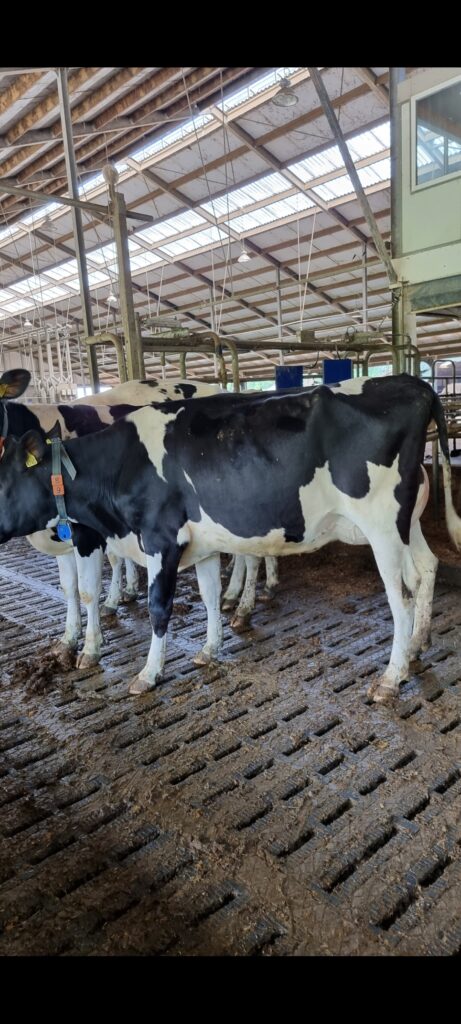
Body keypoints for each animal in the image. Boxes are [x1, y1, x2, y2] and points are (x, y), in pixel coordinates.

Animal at [0, 374, 458, 704]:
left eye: (4, 481)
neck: (123, 464)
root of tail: (410, 382)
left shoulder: (159, 538)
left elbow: (157, 608)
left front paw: (147, 673)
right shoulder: (198, 543)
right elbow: (208, 595)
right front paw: (210, 648)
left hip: (382, 525)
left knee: (401, 598)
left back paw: (391, 678)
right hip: (406, 522)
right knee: (425, 571)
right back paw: (416, 647)